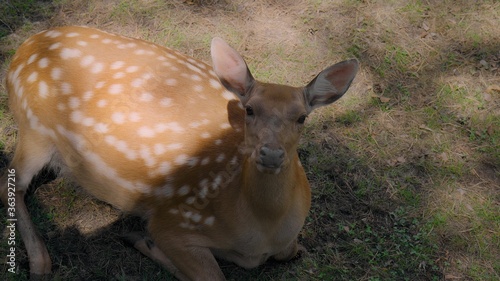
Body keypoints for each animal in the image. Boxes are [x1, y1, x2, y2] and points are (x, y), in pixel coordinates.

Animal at [0, 25, 360, 278]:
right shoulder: (174, 219)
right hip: (35, 128)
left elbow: (293, 251)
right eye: (249, 110)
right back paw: (41, 263)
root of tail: (24, 47)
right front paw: (140, 240)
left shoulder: (288, 241)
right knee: (11, 183)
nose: (271, 154)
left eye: (301, 117)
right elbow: (211, 277)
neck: (260, 233)